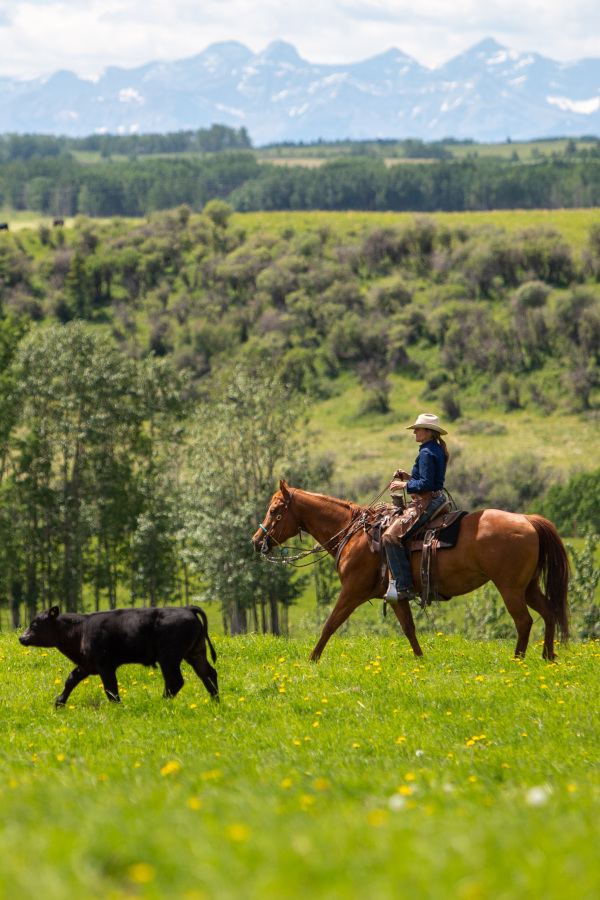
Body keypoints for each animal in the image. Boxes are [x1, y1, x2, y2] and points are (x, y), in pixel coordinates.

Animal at [19, 605, 218, 706]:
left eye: (35, 624)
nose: (22, 638)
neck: (80, 629)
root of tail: (187, 608)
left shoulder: (105, 666)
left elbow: (111, 690)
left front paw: (119, 708)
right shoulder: (85, 665)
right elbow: (70, 680)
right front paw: (59, 703)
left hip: (169, 658)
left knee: (175, 681)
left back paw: (161, 702)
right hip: (195, 653)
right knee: (208, 673)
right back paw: (215, 700)